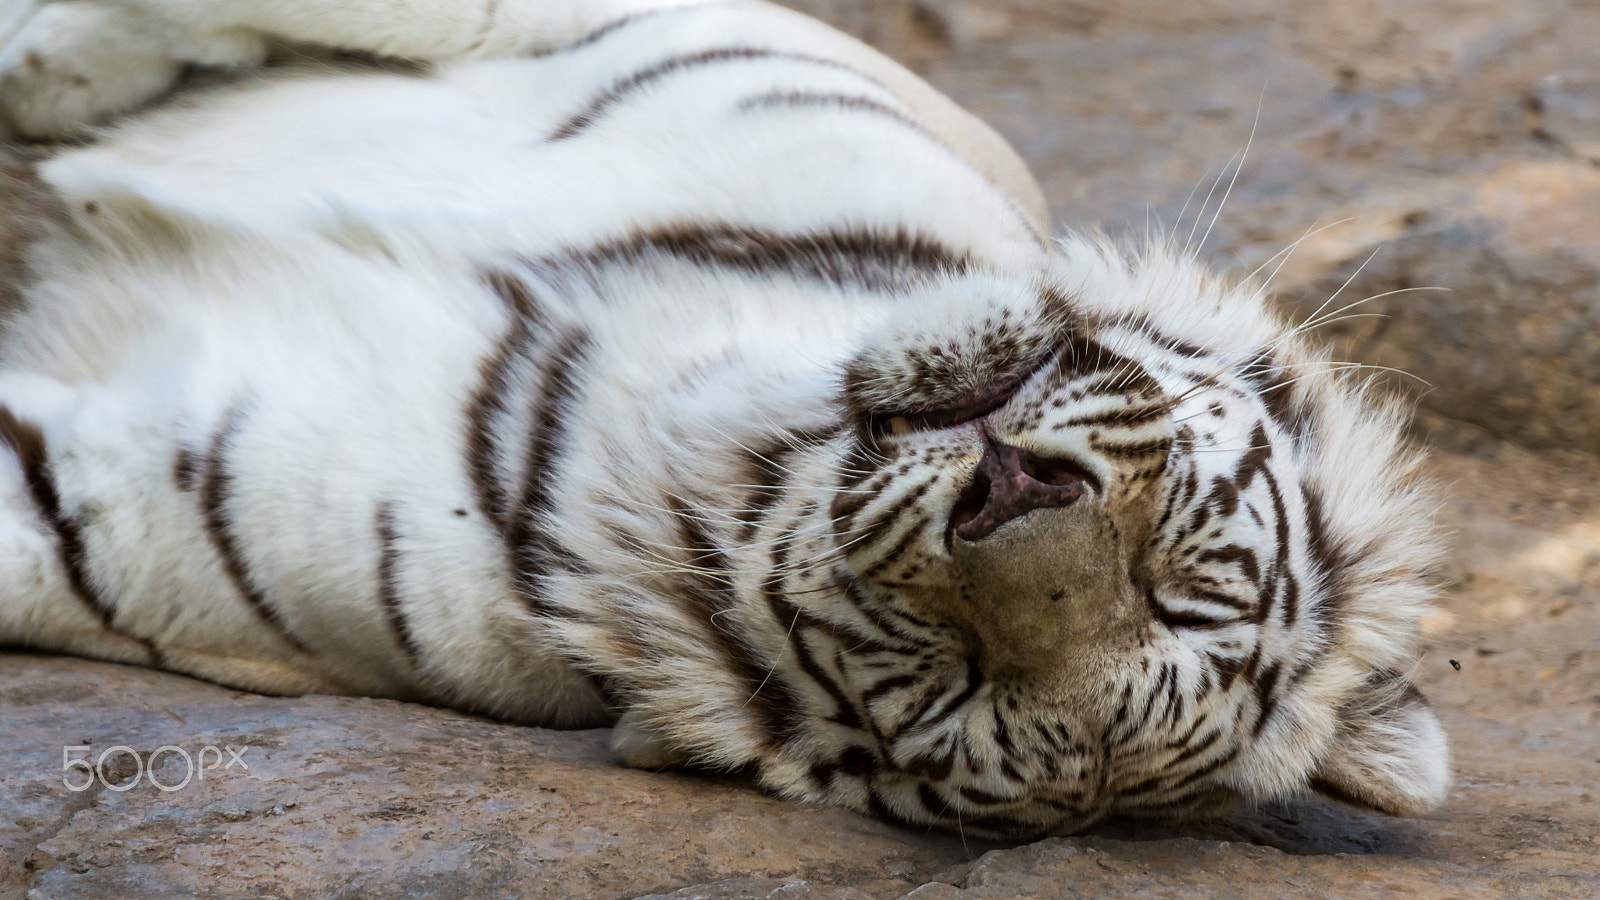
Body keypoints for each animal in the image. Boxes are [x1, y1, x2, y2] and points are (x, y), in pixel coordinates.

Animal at [0, 0, 1449, 836]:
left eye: (960, 679)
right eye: (1177, 587)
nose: (1009, 496)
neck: (693, 370)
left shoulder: (103, 498)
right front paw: (46, 70)